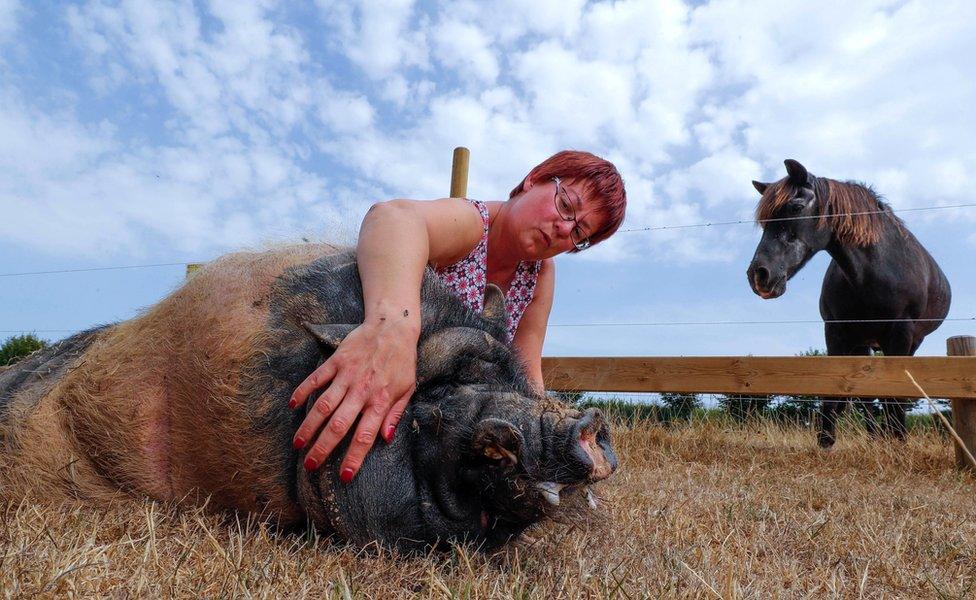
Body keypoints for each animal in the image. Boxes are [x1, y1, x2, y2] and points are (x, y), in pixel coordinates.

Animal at [752, 157, 948, 448]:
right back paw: (874, 435)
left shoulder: (902, 333)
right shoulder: (836, 331)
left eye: (796, 207)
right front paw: (826, 441)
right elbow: (838, 388)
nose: (759, 275)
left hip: (908, 341)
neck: (874, 272)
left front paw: (898, 440)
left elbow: (895, 392)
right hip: (862, 342)